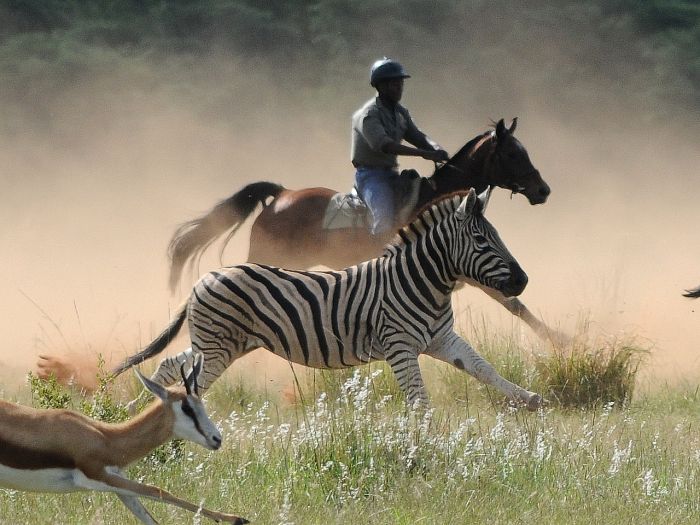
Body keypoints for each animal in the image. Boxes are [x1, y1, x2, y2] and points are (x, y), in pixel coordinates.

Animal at [112, 188, 544, 410]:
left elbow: (484, 369)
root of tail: (204, 279)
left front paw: (530, 400)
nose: (523, 280)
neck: (422, 282)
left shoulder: (441, 339)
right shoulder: (400, 346)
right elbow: (419, 401)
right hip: (218, 348)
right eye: (481, 240)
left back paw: (134, 414)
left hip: (223, 344)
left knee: (170, 364)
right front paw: (425, 449)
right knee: (190, 383)